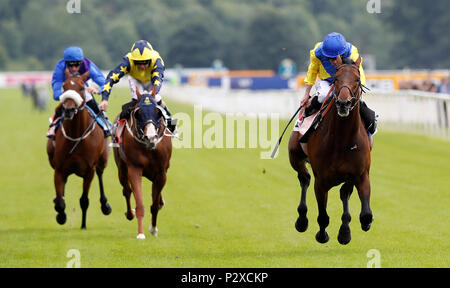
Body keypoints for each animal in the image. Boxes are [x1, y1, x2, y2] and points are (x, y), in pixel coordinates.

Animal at [46, 70, 111, 230]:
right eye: (64, 86)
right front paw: (61, 216)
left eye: (82, 87)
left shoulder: (89, 170)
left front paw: (83, 225)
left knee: (100, 174)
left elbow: (84, 200)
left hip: (102, 160)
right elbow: (60, 202)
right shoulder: (59, 169)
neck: (76, 135)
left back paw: (105, 205)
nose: (68, 109)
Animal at [113, 87, 173, 238]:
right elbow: (139, 202)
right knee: (126, 190)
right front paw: (140, 234)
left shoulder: (161, 172)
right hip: (121, 168)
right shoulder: (134, 168)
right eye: (138, 113)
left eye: (158, 112)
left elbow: (155, 204)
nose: (151, 137)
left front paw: (153, 228)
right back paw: (130, 213)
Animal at [288, 55, 372, 244]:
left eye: (357, 80)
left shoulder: (360, 174)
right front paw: (322, 235)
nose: (343, 103)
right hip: (295, 156)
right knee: (304, 178)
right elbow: (323, 216)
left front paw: (346, 232)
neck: (342, 139)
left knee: (344, 193)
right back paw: (302, 220)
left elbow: (365, 215)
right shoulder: (321, 180)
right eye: (335, 79)